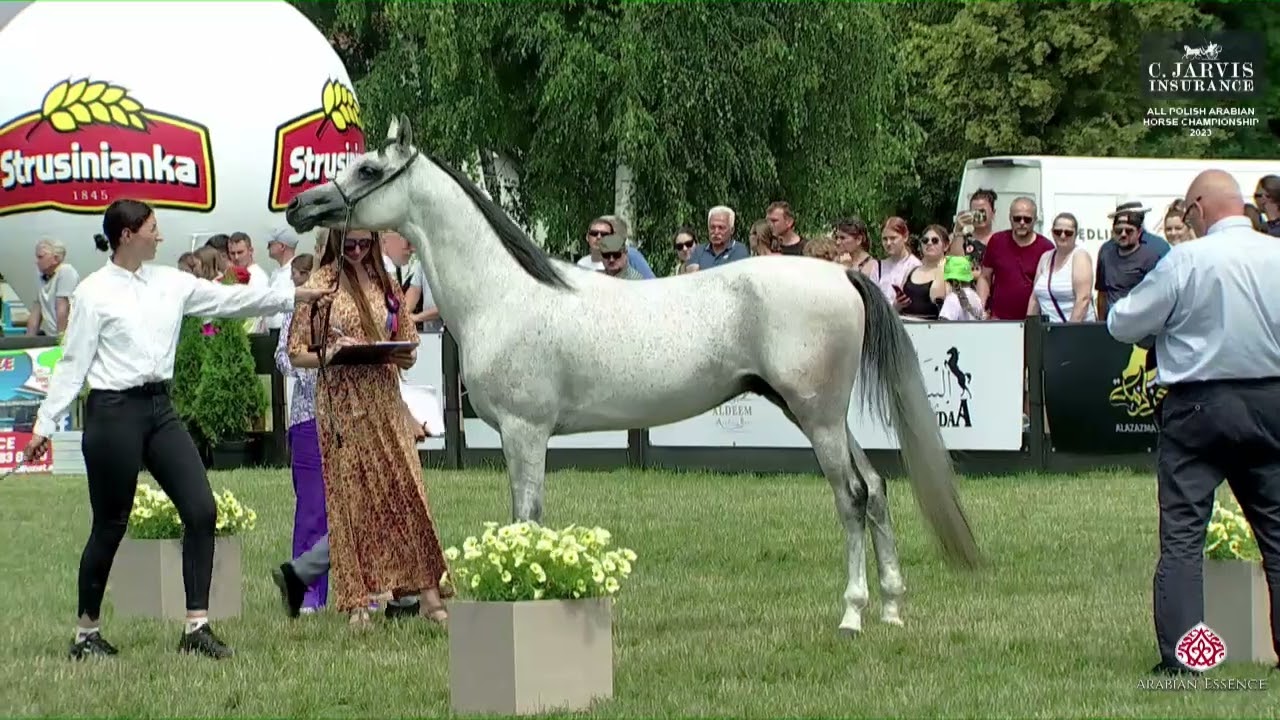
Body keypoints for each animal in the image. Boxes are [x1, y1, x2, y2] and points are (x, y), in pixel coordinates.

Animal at [284, 114, 983, 633]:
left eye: (368, 170)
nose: (300, 209)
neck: (504, 296)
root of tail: (839, 274)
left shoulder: (525, 433)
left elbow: (527, 520)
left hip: (817, 416)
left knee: (853, 497)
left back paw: (853, 616)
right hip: (820, 414)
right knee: (879, 489)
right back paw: (891, 609)